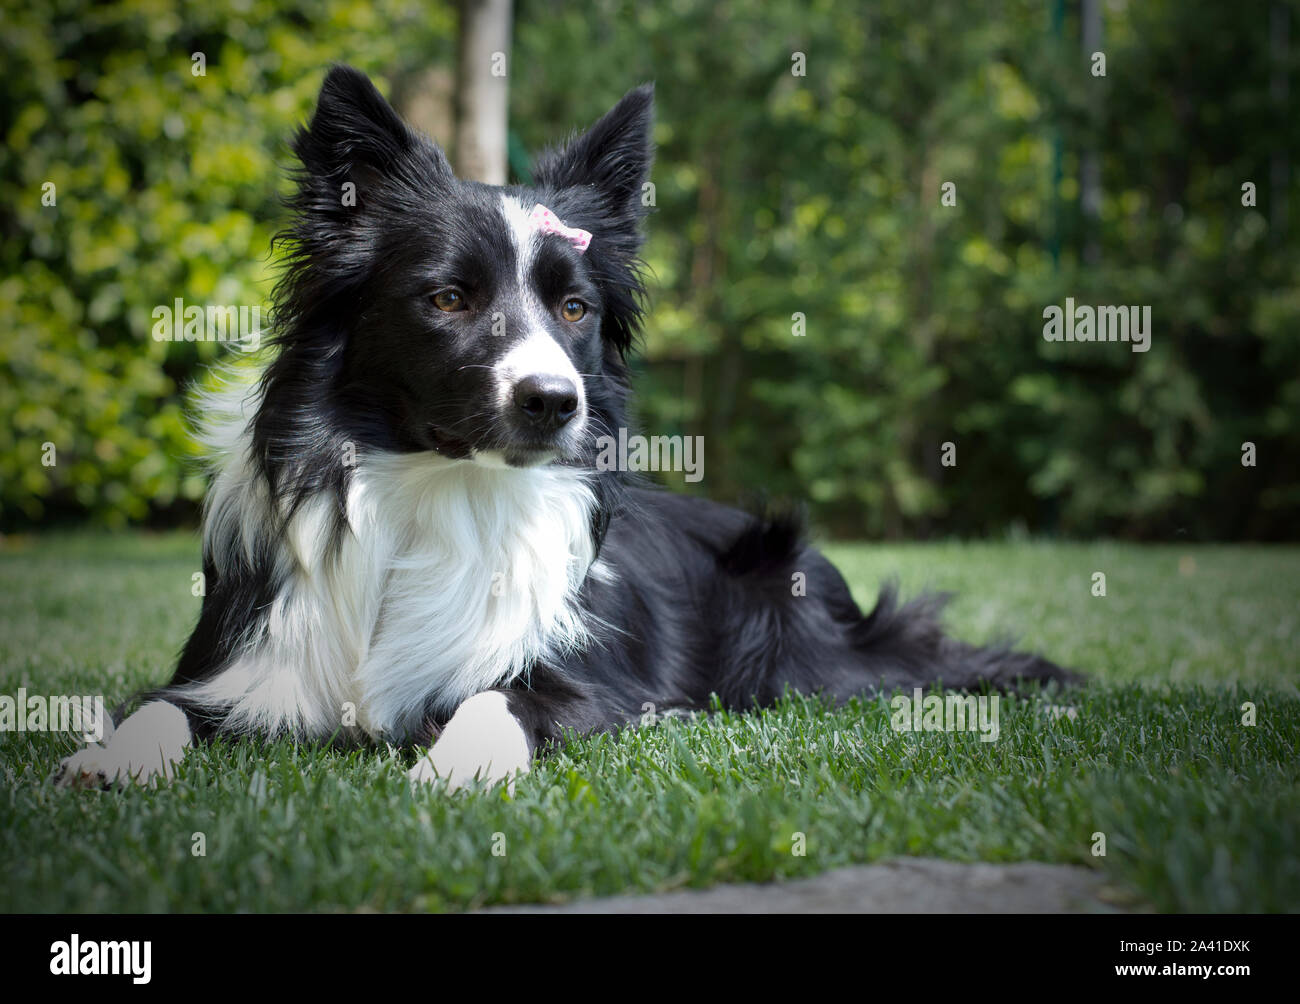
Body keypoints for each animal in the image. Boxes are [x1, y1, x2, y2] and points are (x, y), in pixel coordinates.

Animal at [55, 66, 1071, 795]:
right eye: (448, 298)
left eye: (575, 308)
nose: (553, 401)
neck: (434, 491)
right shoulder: (243, 667)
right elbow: (162, 708)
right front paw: (112, 759)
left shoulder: (570, 676)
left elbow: (502, 701)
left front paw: (453, 768)